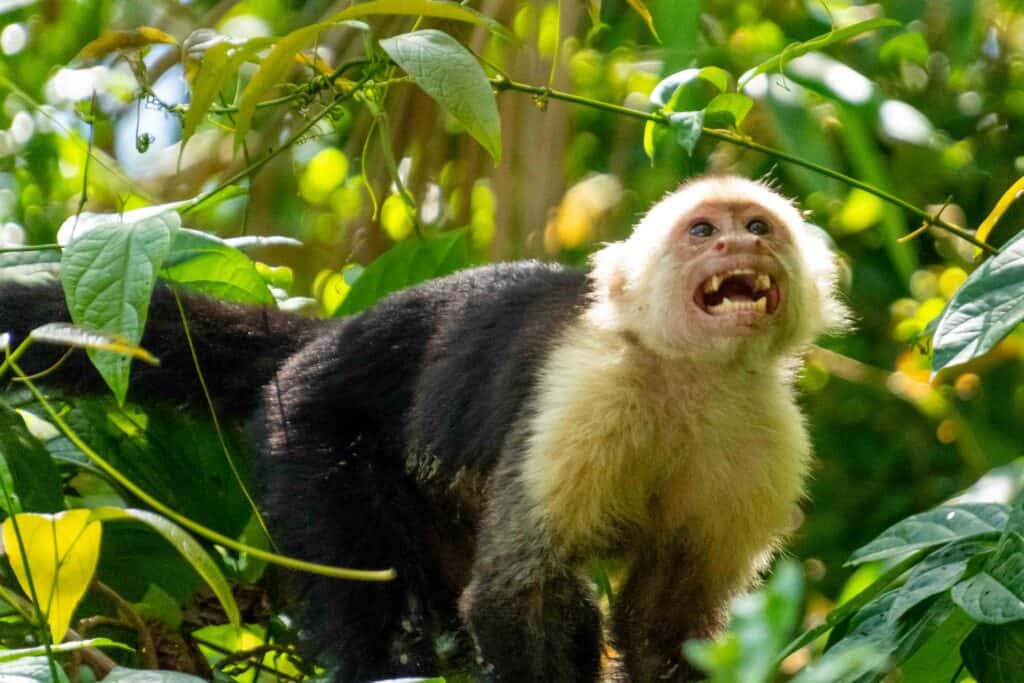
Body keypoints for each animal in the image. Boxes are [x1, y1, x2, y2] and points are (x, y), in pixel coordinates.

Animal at [0, 175, 848, 682]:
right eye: (702, 232)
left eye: (758, 225)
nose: (741, 243)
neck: (688, 380)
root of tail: (325, 340)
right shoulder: (587, 396)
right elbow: (517, 592)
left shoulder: (768, 440)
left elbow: (664, 622)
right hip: (306, 424)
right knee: (366, 587)